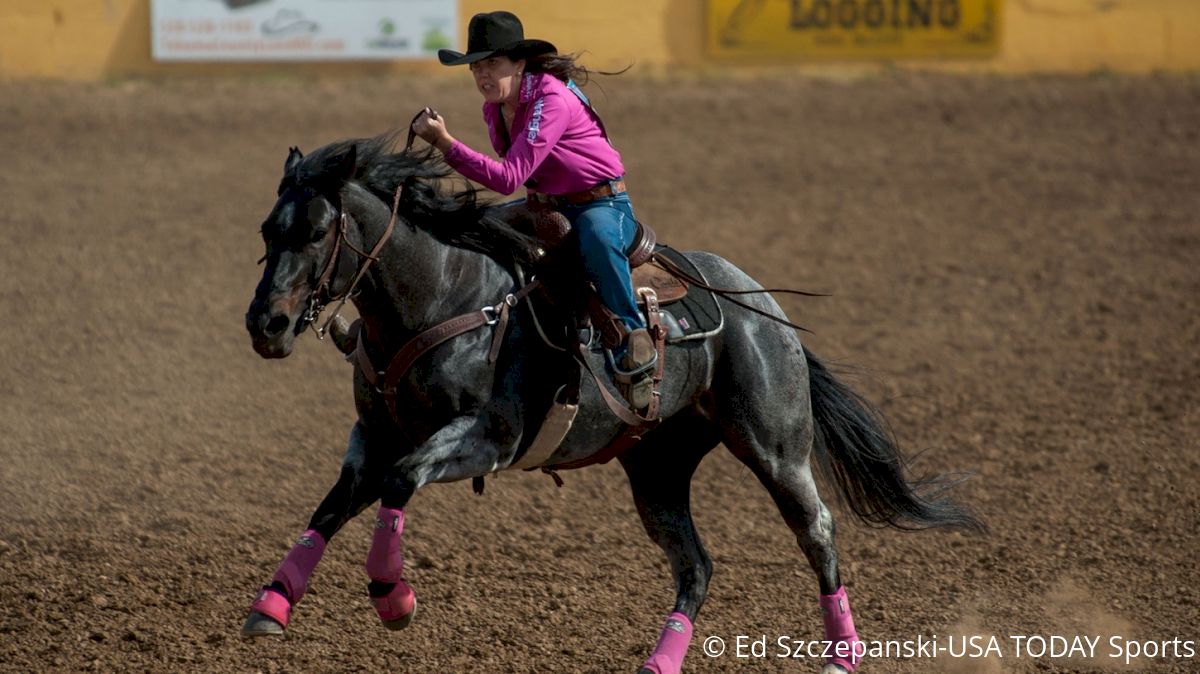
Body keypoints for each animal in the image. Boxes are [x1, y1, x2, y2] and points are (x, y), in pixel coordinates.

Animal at [243, 132, 984, 671]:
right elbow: (331, 507)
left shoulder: (488, 436)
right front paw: (270, 607)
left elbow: (400, 483)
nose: (265, 325)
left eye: (316, 233)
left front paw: (394, 598)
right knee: (696, 565)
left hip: (775, 447)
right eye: (267, 230)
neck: (447, 293)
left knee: (817, 529)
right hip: (657, 468)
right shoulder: (372, 436)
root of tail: (758, 303)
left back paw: (841, 655)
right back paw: (660, 662)